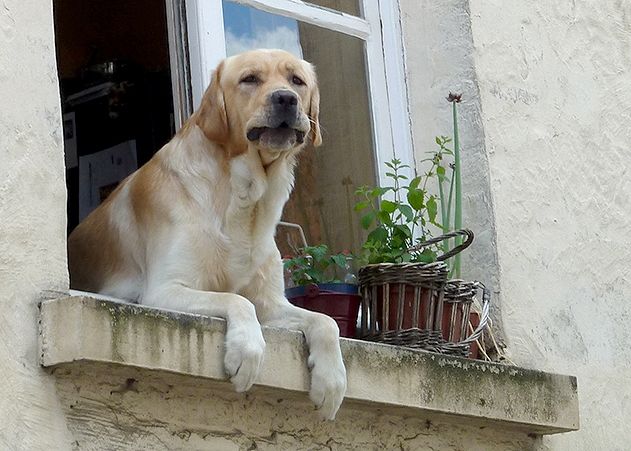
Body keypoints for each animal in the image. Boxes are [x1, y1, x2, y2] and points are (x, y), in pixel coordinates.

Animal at [70, 48, 346, 420]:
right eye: (250, 79)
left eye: (297, 81)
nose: (286, 99)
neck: (244, 199)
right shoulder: (163, 290)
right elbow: (236, 299)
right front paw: (246, 350)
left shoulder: (273, 304)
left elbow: (326, 321)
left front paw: (331, 381)